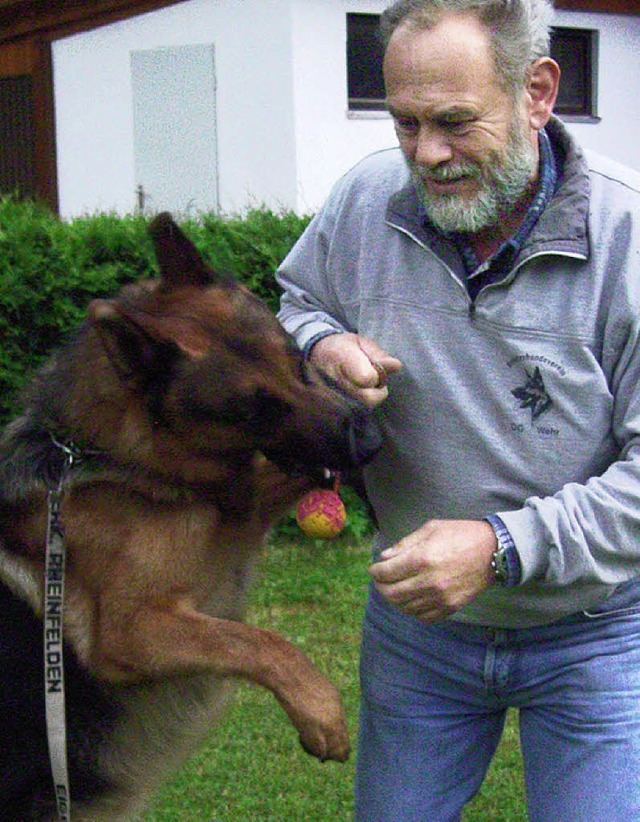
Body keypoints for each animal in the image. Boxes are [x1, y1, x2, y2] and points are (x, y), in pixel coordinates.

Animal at [0, 216, 380, 820]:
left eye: (299, 361)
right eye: (258, 410)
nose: (369, 441)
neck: (111, 457)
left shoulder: (226, 514)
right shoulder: (132, 631)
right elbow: (257, 641)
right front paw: (321, 712)